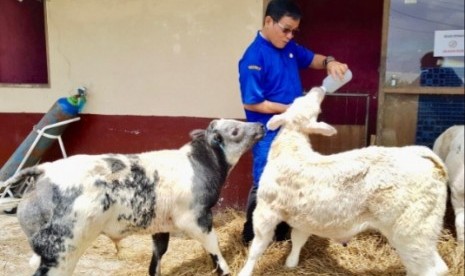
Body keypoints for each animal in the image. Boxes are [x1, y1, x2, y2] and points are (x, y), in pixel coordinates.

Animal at [237, 87, 448, 274]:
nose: (318, 89)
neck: (291, 150)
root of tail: (424, 156)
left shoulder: (266, 209)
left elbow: (257, 247)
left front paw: (245, 271)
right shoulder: (302, 216)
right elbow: (298, 239)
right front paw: (291, 263)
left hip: (411, 229)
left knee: (430, 269)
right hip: (423, 230)